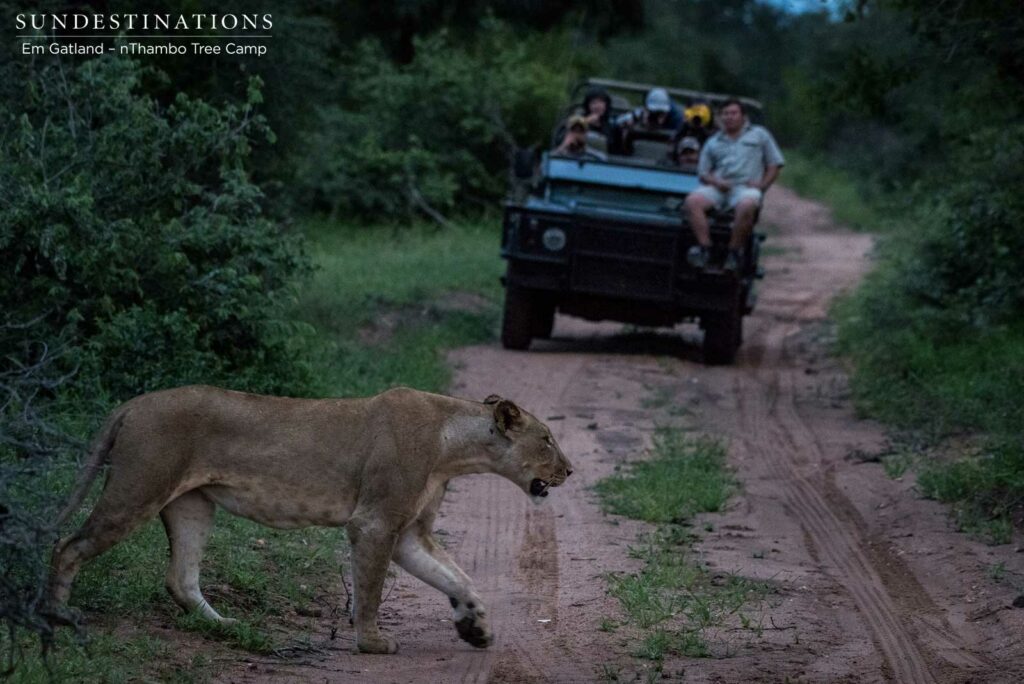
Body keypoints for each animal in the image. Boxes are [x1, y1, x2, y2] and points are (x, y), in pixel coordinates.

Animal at [46, 385, 573, 654]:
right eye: (547, 439)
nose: (569, 470)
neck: (454, 450)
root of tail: (133, 403)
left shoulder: (408, 532)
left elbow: (457, 577)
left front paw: (475, 627)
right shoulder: (375, 522)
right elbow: (371, 590)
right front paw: (372, 642)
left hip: (192, 504)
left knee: (181, 578)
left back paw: (232, 629)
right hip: (138, 488)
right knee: (67, 546)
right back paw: (55, 616)